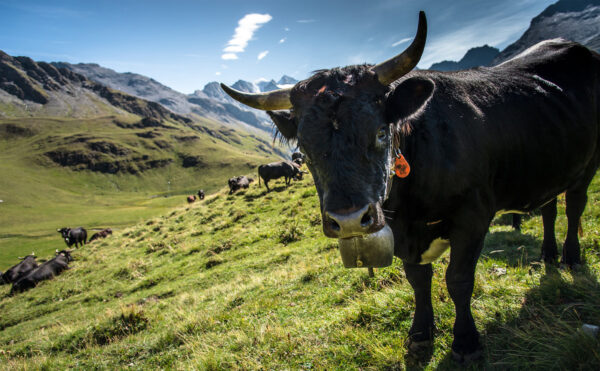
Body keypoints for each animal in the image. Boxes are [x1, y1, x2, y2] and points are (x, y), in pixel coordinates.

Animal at [223, 10, 600, 364]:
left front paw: (466, 343)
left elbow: (458, 279)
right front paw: (420, 335)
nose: (348, 220)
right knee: (549, 209)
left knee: (574, 206)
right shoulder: (403, 234)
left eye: (380, 132)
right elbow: (418, 280)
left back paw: (571, 259)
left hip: (588, 164)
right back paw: (548, 255)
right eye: (304, 148)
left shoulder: (473, 216)